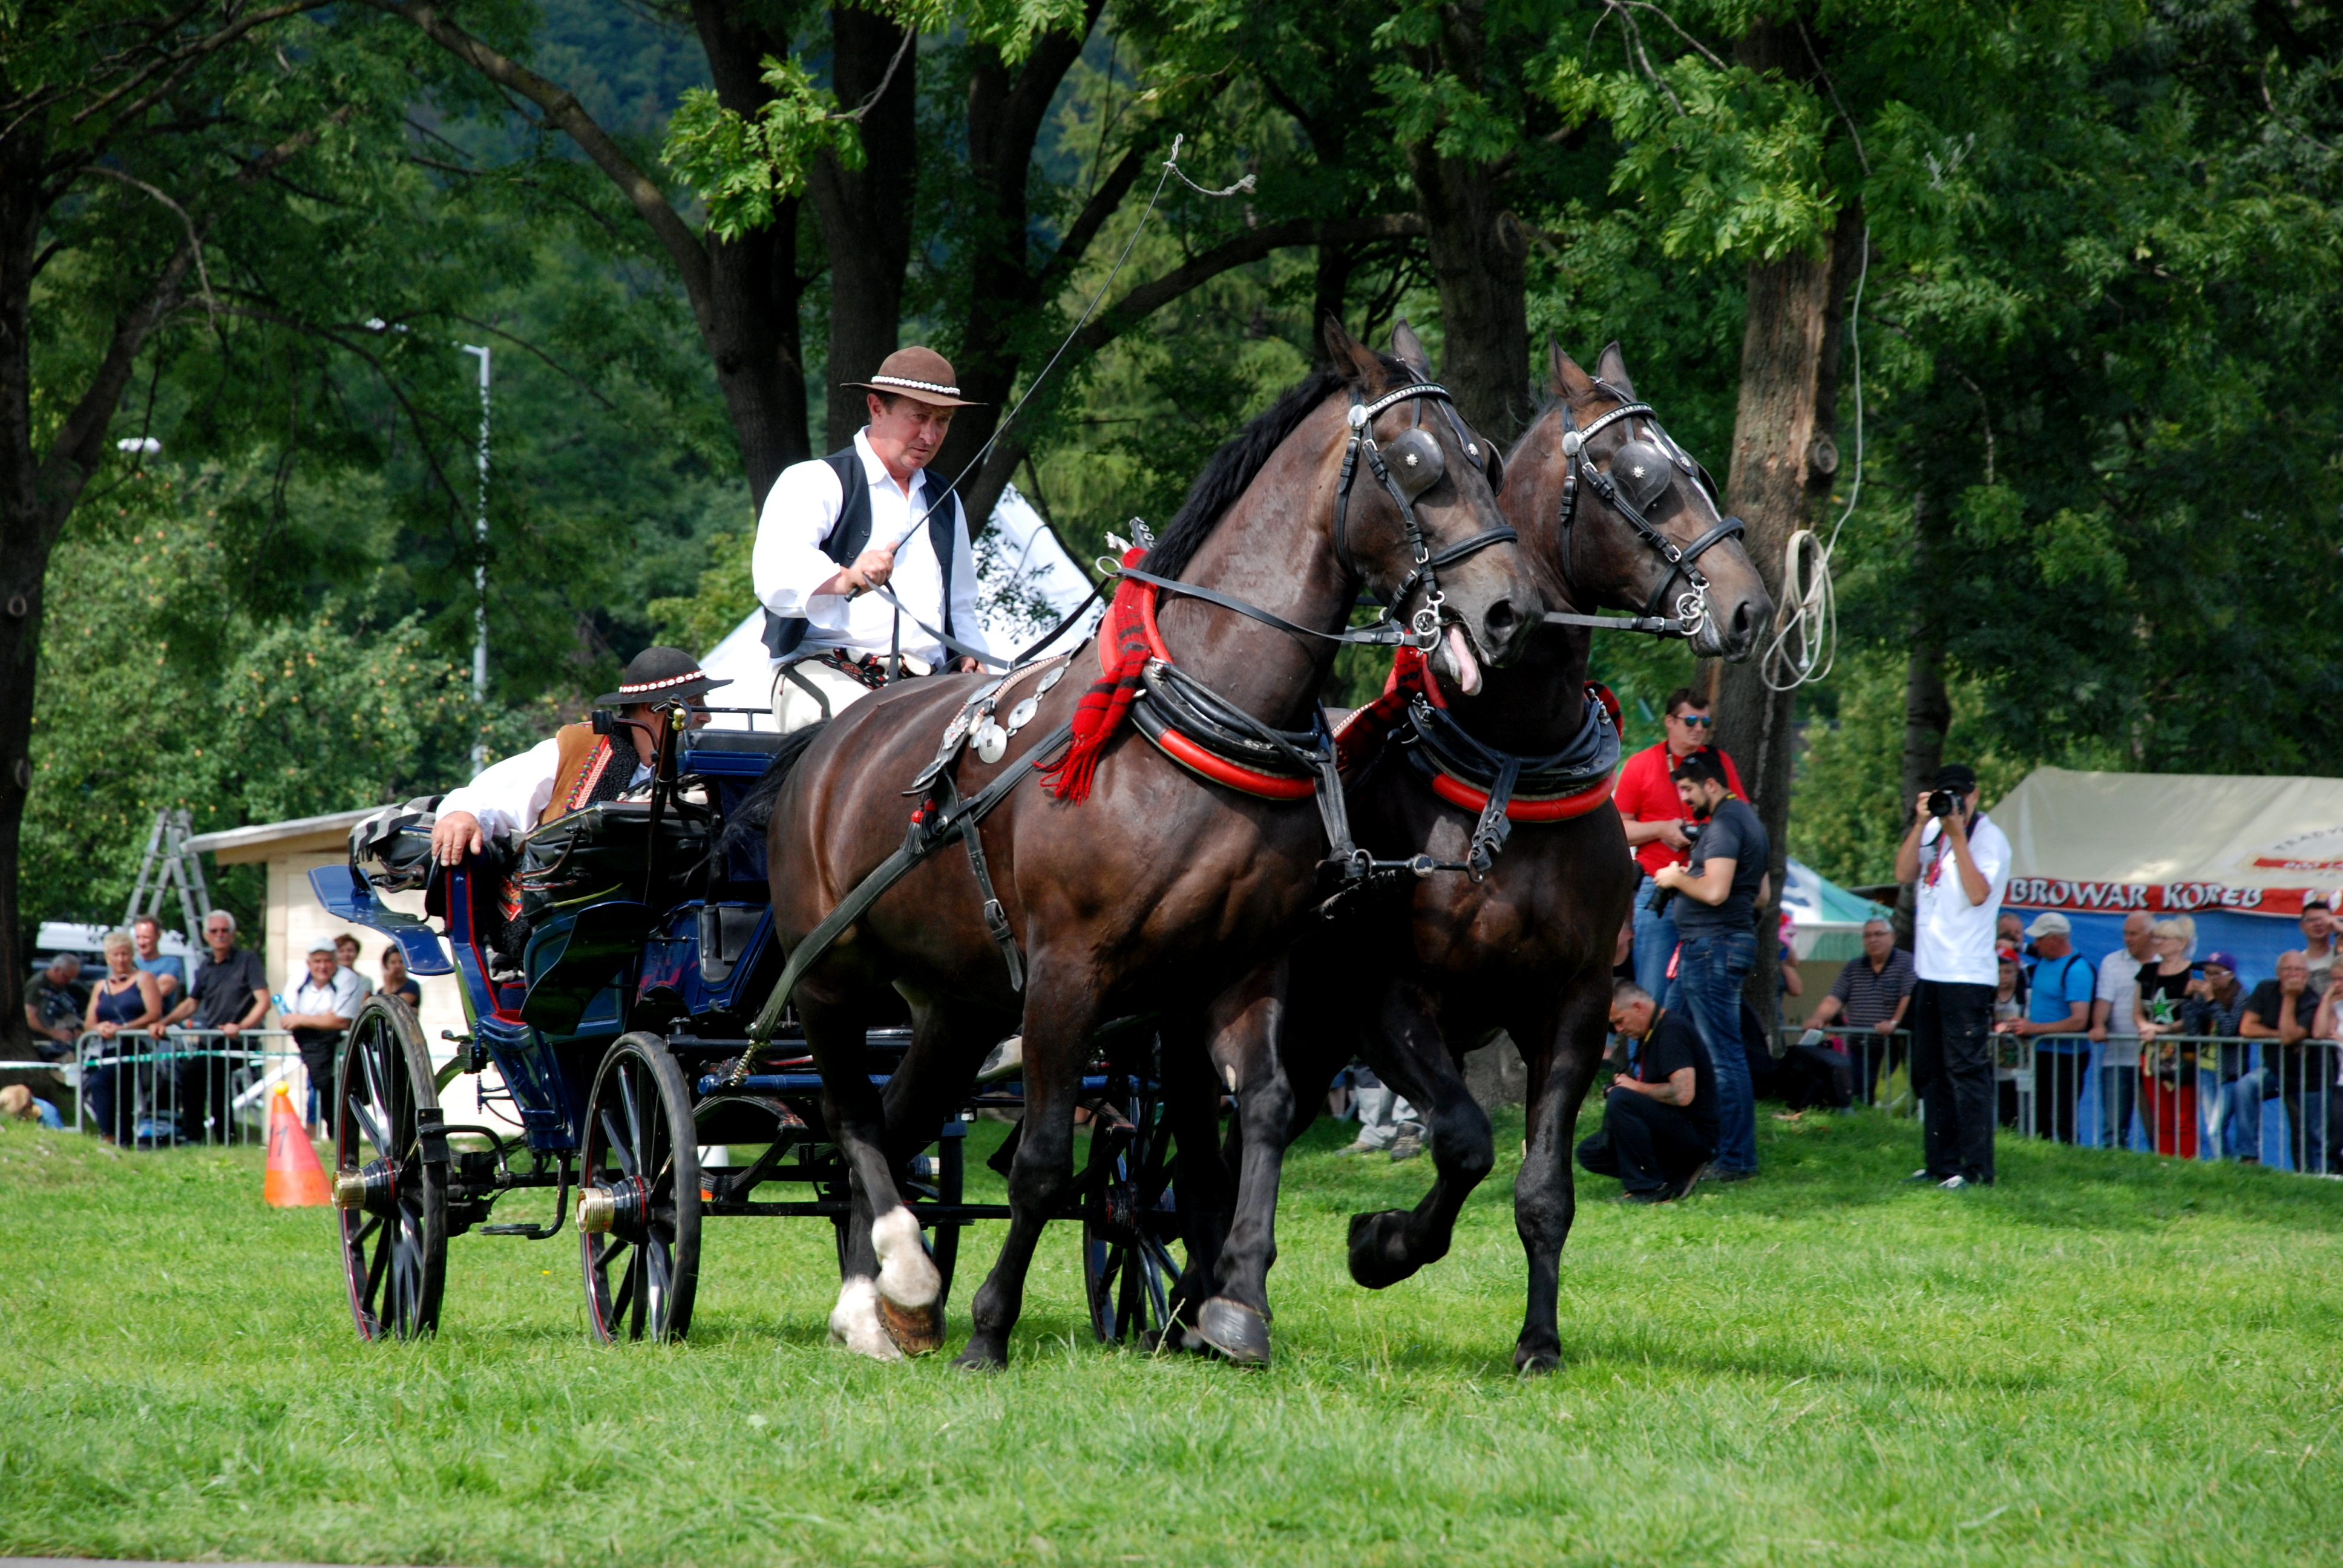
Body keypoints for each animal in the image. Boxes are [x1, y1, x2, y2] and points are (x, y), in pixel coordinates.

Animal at [753, 317, 1544, 1369]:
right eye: (1415, 462)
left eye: (1489, 459)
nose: (1509, 612)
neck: (1196, 724)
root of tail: (826, 744)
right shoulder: (1065, 975)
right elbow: (1044, 1161)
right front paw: (990, 1329)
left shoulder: (1239, 970)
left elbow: (1263, 1113)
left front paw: (1235, 1302)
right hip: (835, 979)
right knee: (851, 1118)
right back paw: (894, 1284)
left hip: (958, 1003)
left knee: (896, 1115)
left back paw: (886, 1301)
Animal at [1185, 334, 1772, 1372]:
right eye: (1641, 477)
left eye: (1697, 468)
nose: (1747, 608)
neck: (1512, 764)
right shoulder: (1390, 1003)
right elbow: (1463, 1140)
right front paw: (1381, 1244)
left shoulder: (1573, 1003)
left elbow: (1542, 1189)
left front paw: (1538, 1338)